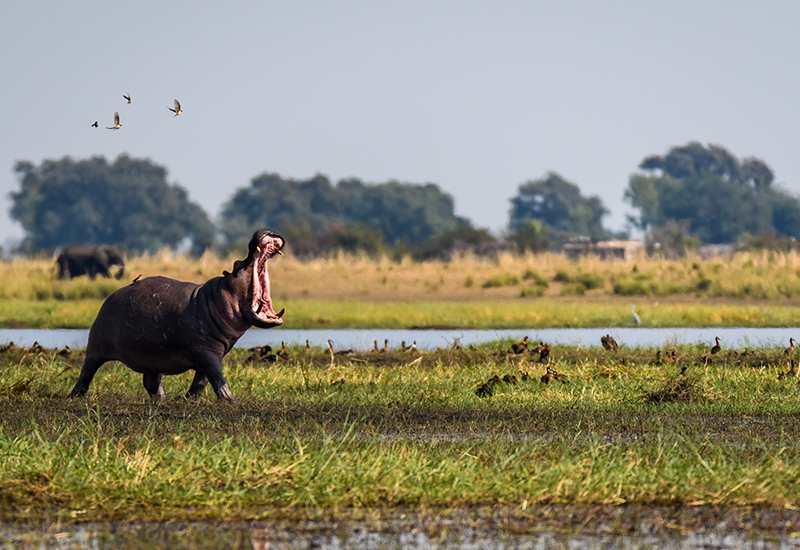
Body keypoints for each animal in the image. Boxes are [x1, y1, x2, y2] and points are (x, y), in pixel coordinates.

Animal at [69, 230, 285, 402]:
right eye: (237, 263)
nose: (260, 232)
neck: (217, 298)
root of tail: (109, 297)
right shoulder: (207, 353)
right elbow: (217, 378)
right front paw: (232, 400)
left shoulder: (213, 352)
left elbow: (202, 381)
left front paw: (189, 399)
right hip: (97, 347)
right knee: (87, 371)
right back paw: (76, 395)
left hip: (154, 355)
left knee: (152, 381)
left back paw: (161, 399)